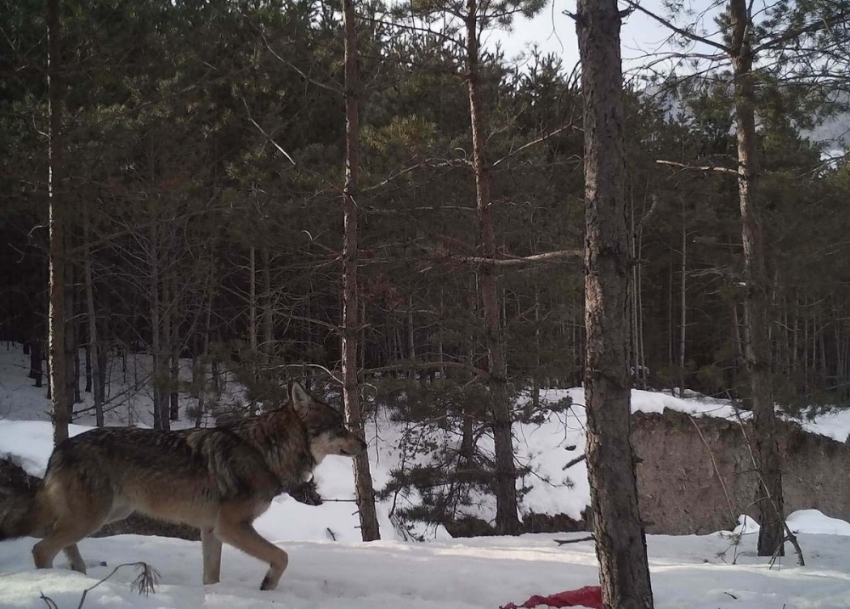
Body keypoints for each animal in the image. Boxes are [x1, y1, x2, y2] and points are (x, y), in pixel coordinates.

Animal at [0, 380, 364, 588]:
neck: (266, 452)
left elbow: (211, 576)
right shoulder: (231, 528)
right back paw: (53, 581)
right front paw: (266, 586)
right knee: (41, 547)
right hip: (92, 518)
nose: (362, 444)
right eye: (339, 426)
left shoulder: (211, 531)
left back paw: (78, 576)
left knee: (59, 542)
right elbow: (282, 557)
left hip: (105, 516)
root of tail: (60, 448)